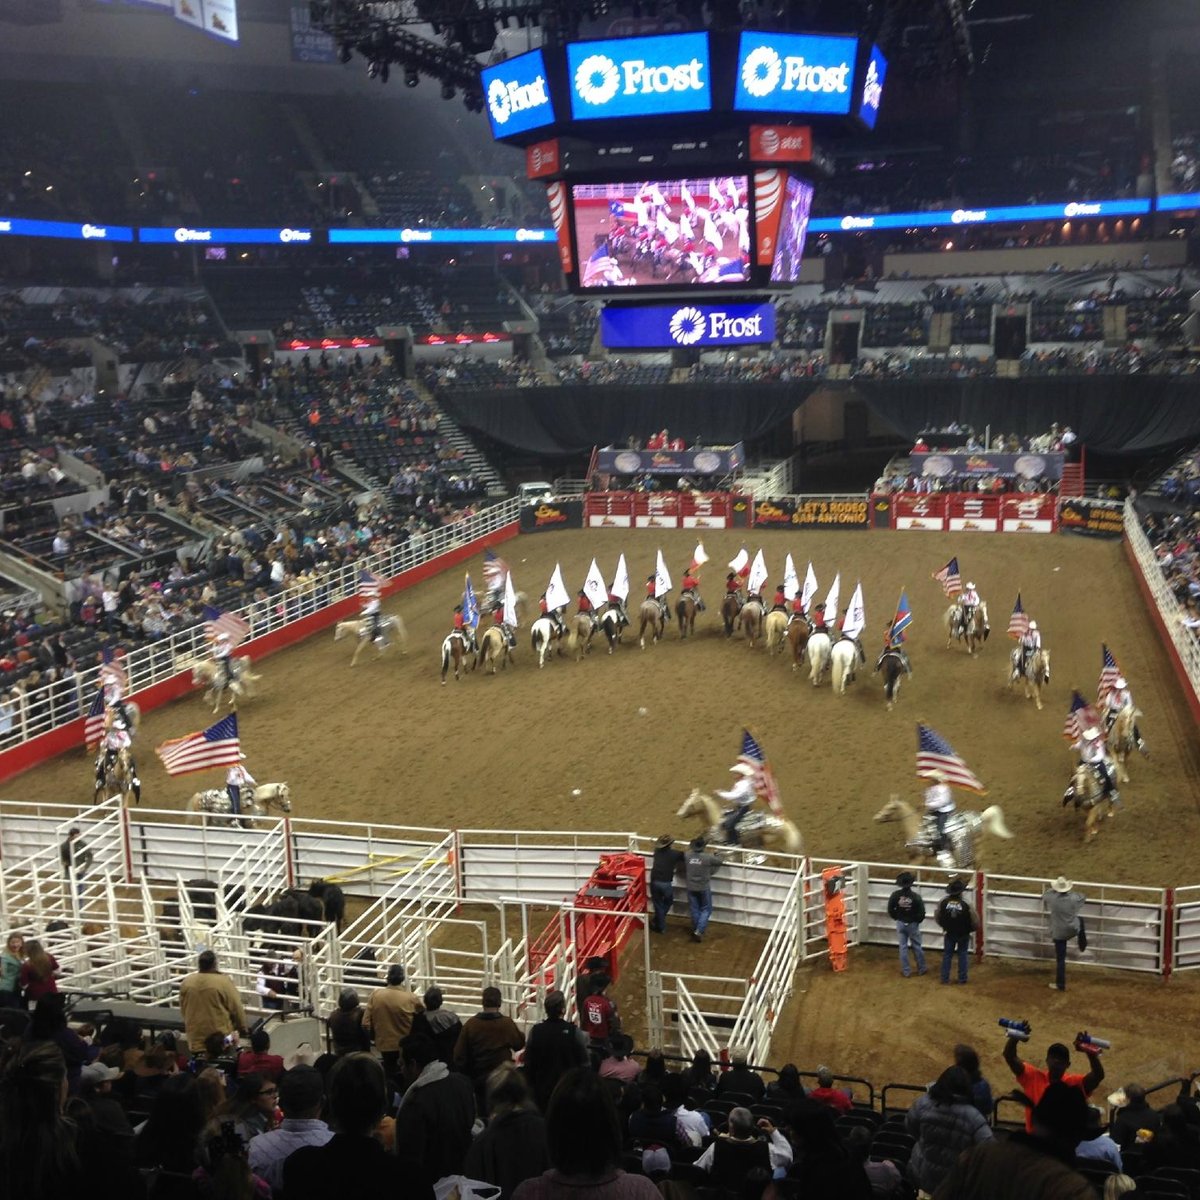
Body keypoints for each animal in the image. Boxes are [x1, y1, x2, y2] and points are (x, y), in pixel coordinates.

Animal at [873, 796, 1012, 873]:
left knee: (975, 866)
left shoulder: (919, 858)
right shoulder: (921, 860)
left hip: (969, 848)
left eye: (891, 808)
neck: (915, 829)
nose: (876, 818)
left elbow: (906, 871)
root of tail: (982, 818)